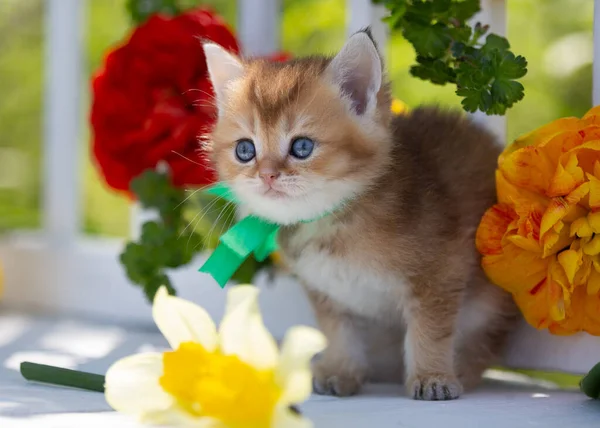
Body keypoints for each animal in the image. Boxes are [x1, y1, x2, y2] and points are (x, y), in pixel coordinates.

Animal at [204, 28, 516, 400]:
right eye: (245, 150)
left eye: (302, 147)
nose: (266, 174)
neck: (333, 224)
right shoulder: (326, 290)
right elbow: (339, 331)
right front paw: (341, 370)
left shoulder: (442, 269)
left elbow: (430, 329)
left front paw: (433, 376)